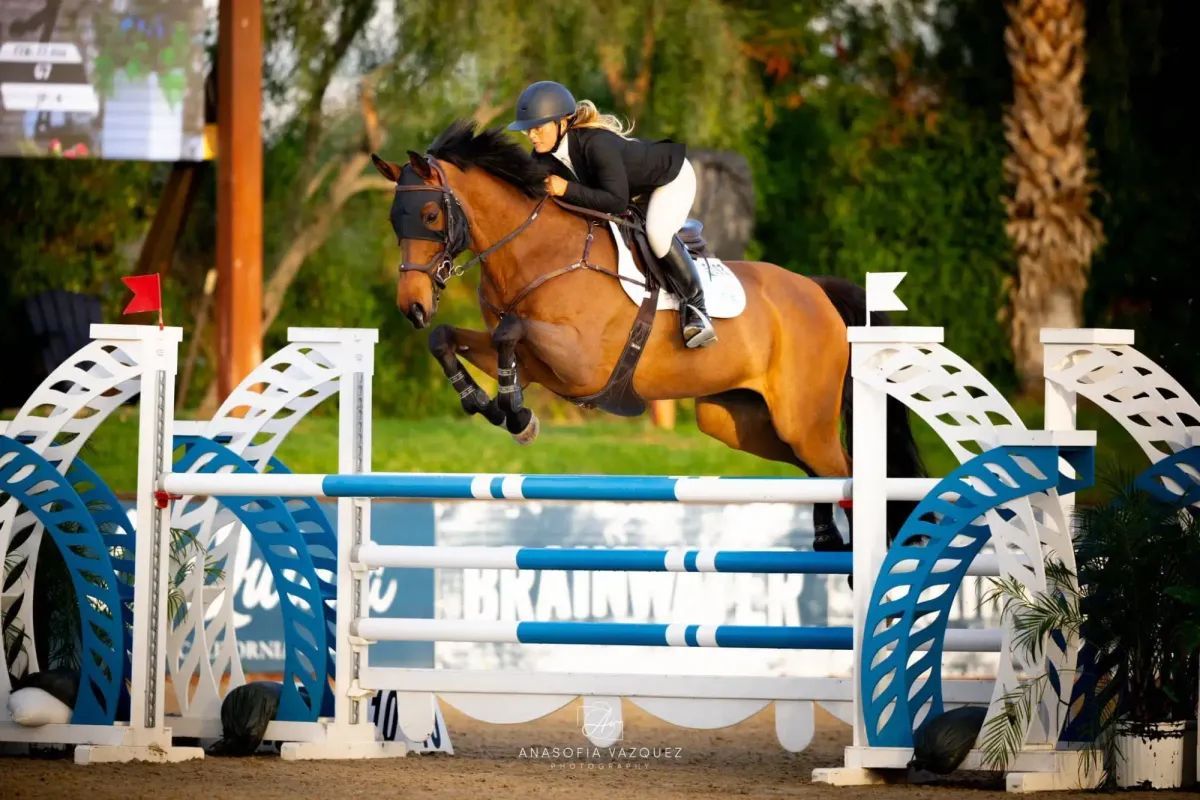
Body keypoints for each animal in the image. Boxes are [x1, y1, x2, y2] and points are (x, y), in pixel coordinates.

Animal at [371, 120, 922, 549]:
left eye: (429, 215)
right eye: (394, 220)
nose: (412, 307)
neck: (536, 250)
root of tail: (817, 291)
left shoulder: (579, 361)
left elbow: (511, 329)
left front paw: (515, 412)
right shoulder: (535, 362)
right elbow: (448, 339)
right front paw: (489, 405)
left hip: (803, 420)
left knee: (845, 469)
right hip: (741, 421)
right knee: (821, 475)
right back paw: (829, 541)